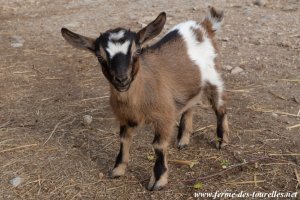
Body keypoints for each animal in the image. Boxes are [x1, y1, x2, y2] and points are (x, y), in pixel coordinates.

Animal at [61, 6, 230, 191]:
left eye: (137, 51)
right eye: (100, 57)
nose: (122, 79)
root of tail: (205, 25)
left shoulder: (163, 117)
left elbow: (158, 146)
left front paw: (158, 181)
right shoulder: (125, 118)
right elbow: (123, 141)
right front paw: (118, 170)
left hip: (214, 77)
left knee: (220, 108)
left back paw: (221, 141)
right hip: (191, 84)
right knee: (190, 105)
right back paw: (183, 140)